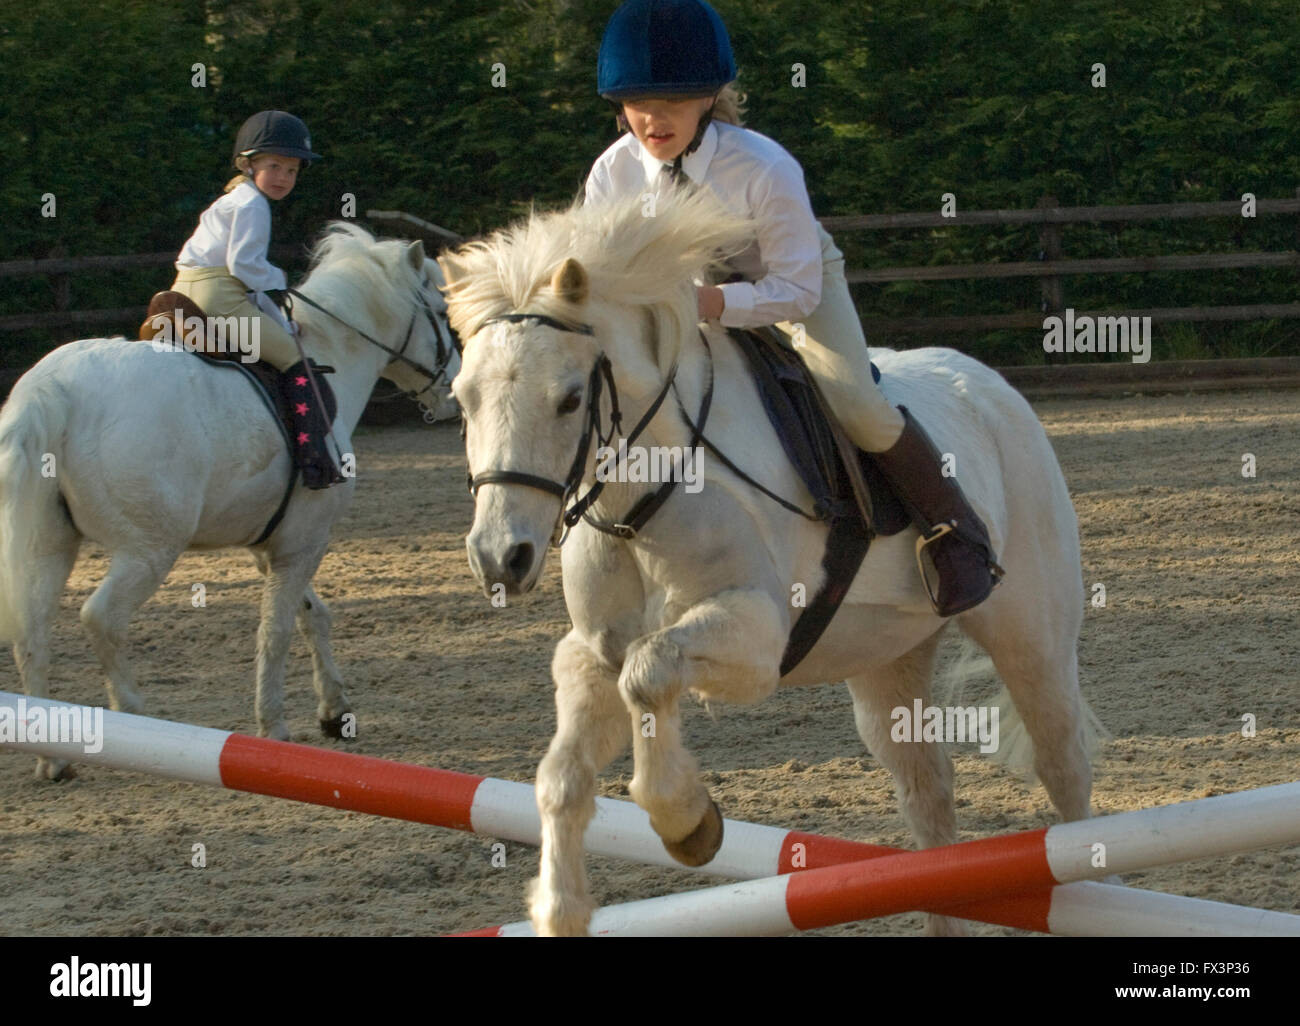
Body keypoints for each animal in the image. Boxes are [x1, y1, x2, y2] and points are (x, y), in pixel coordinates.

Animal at [0, 223, 460, 780]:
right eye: (442, 312)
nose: (455, 392)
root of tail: (55, 386)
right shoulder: (303, 543)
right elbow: (277, 630)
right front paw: (274, 724)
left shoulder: (274, 545)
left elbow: (311, 615)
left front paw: (335, 710)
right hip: (148, 551)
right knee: (100, 618)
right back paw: (132, 712)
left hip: (49, 545)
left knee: (31, 633)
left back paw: (52, 757)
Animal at [441, 192, 1102, 936]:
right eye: (462, 399)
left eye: (570, 398)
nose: (501, 557)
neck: (643, 500)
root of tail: (991, 386)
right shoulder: (591, 655)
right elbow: (563, 774)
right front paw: (562, 908)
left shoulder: (756, 641)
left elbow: (650, 671)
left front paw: (685, 821)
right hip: (887, 661)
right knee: (927, 794)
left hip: (1030, 637)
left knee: (1063, 765)